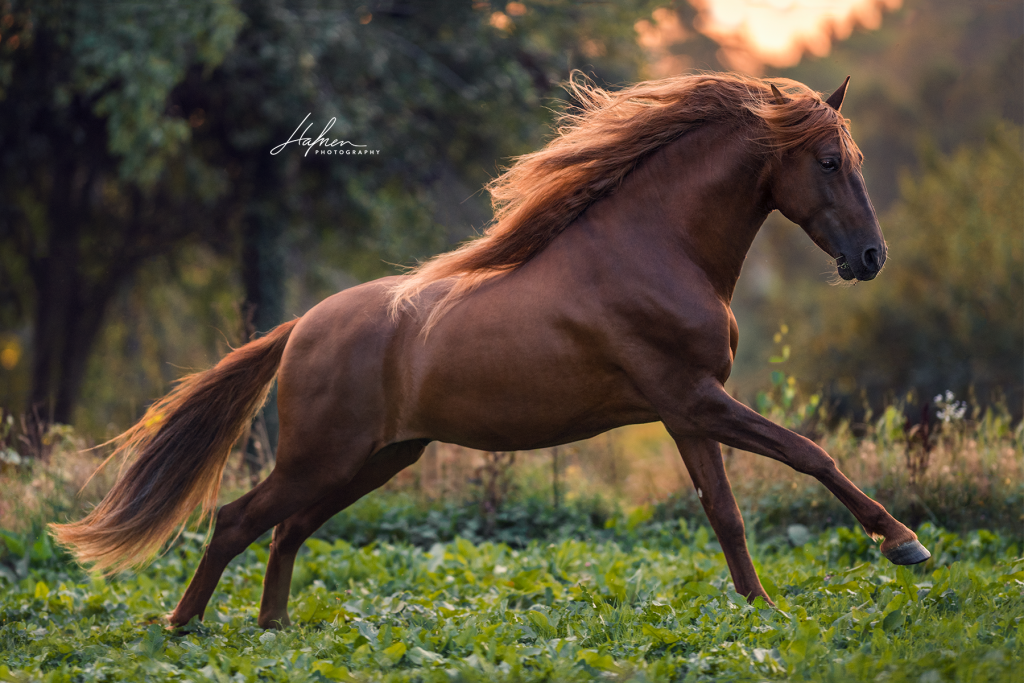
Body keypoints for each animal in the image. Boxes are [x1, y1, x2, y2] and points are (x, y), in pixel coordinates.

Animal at [54, 73, 929, 630]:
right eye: (828, 161)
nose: (872, 257)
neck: (655, 248)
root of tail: (300, 326)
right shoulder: (693, 399)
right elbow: (809, 454)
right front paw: (904, 545)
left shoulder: (686, 412)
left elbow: (726, 514)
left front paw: (762, 611)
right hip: (322, 455)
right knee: (239, 518)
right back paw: (183, 625)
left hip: (377, 458)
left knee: (287, 529)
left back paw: (276, 627)